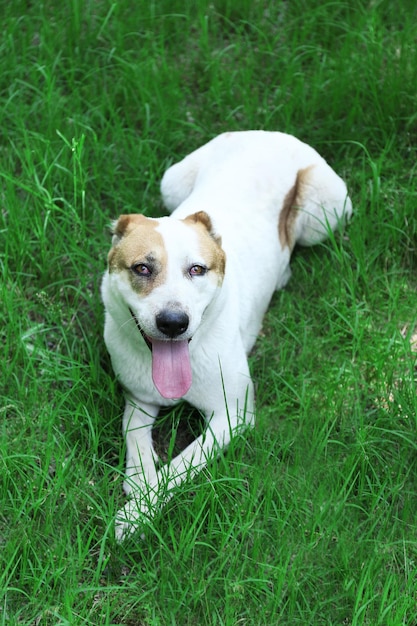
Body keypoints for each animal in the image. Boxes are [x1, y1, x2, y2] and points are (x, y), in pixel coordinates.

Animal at [101, 130, 352, 536]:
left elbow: (181, 464)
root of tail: (270, 133)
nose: (174, 322)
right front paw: (139, 484)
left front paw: (139, 511)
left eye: (197, 269)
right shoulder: (137, 398)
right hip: (171, 182)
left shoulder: (232, 415)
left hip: (326, 211)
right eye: (141, 268)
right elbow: (135, 440)